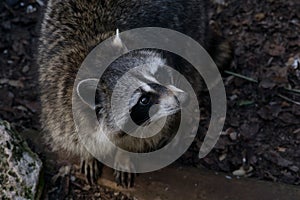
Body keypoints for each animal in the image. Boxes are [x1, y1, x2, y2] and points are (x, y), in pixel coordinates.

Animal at [37, 0, 232, 188]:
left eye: (158, 75)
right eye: (143, 100)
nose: (184, 99)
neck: (97, 63)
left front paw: (125, 154)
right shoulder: (59, 107)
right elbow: (74, 136)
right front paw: (88, 153)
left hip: (191, 30)